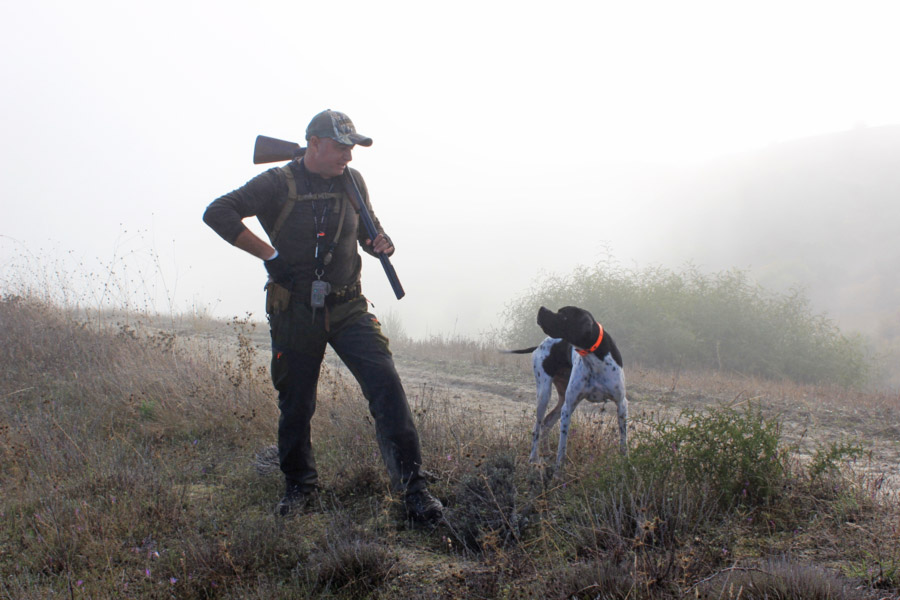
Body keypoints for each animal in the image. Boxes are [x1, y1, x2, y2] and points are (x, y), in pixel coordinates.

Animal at [510, 304, 628, 468]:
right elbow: (562, 448)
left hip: (561, 399)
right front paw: (559, 470)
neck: (594, 357)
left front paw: (626, 465)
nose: (541, 308)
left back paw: (546, 453)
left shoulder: (621, 404)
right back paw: (534, 458)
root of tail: (539, 345)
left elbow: (623, 443)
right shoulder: (568, 406)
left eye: (563, 315)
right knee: (537, 428)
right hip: (545, 395)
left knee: (547, 423)